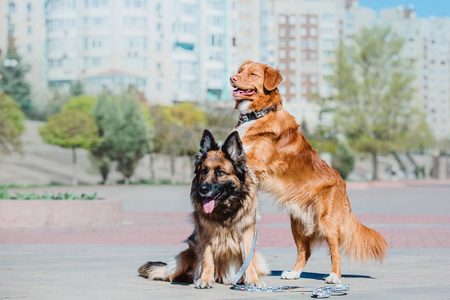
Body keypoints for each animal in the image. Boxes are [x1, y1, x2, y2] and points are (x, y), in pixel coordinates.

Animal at [139, 131, 268, 288]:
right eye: (203, 171)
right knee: (172, 273)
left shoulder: (247, 232)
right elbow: (207, 258)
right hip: (186, 255)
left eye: (221, 172)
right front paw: (205, 279)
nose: (203, 189)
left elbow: (247, 259)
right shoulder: (205, 234)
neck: (224, 210)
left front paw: (253, 279)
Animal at [229, 61, 386, 284]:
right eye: (240, 71)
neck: (258, 114)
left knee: (335, 250)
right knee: (305, 252)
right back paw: (294, 273)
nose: (232, 78)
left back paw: (334, 277)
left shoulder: (257, 163)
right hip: (297, 225)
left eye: (253, 74)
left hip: (327, 222)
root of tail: (342, 184)